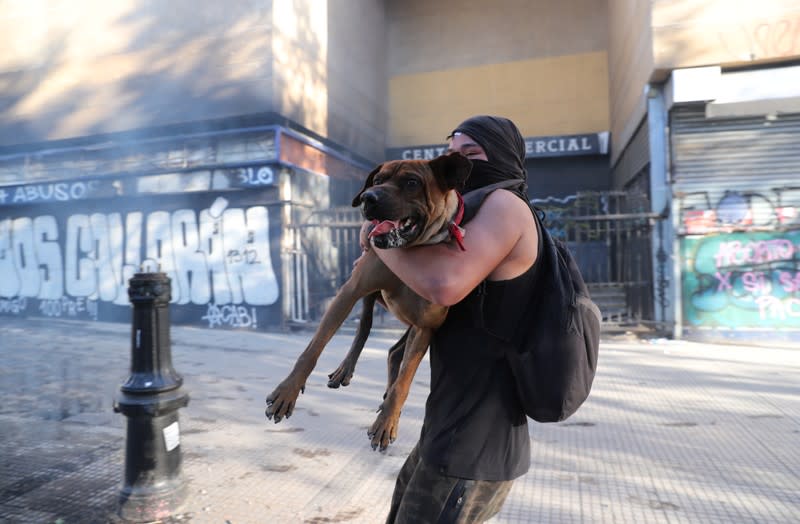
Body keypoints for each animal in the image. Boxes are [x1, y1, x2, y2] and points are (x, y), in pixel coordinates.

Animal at [266, 151, 472, 450]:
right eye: (377, 180)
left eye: (412, 182)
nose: (368, 198)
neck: (412, 249)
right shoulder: (351, 290)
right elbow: (313, 349)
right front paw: (287, 391)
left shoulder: (425, 325)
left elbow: (404, 381)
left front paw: (387, 421)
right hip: (367, 294)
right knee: (364, 325)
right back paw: (345, 370)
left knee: (396, 353)